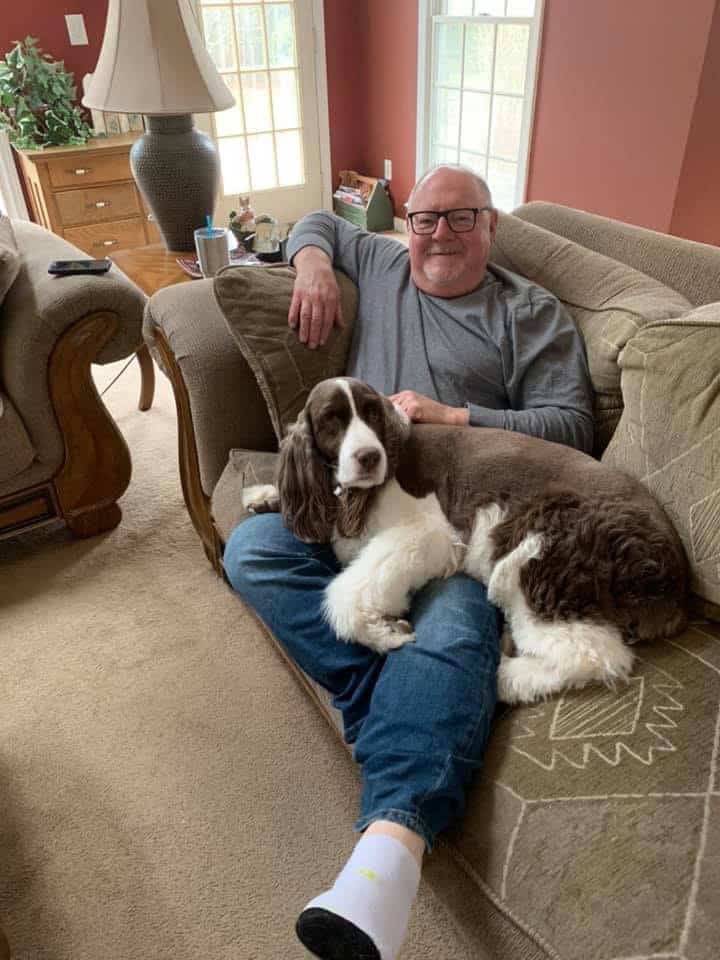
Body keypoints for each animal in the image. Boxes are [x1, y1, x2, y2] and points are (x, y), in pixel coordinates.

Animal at [243, 377, 688, 704]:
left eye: (371, 413)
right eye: (331, 420)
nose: (369, 457)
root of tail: (674, 574)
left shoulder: (430, 533)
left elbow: (347, 595)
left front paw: (383, 632)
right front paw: (264, 495)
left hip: (537, 558)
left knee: (592, 654)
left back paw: (504, 678)